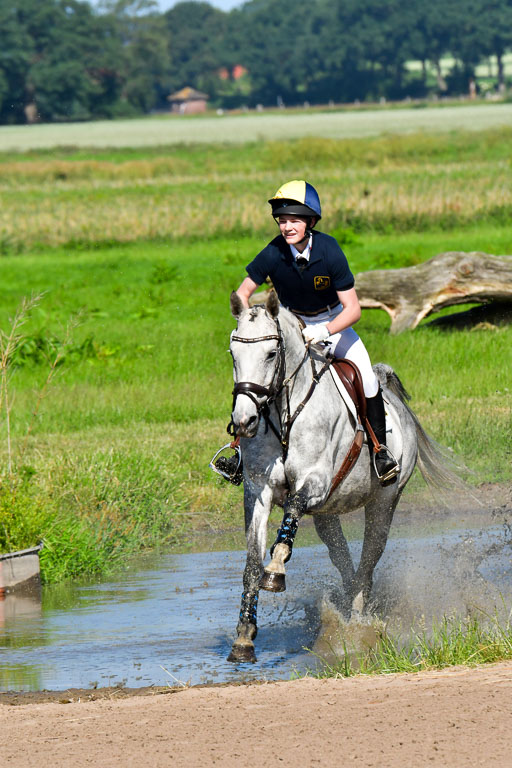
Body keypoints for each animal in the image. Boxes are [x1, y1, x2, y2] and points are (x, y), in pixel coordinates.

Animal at [226, 290, 459, 663]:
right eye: (233, 354)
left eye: (271, 353)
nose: (244, 421)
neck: (285, 412)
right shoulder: (258, 492)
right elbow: (251, 565)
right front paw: (244, 637)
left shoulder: (316, 484)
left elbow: (292, 507)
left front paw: (275, 572)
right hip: (327, 514)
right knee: (342, 558)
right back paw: (346, 608)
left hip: (383, 501)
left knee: (369, 559)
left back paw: (359, 620)